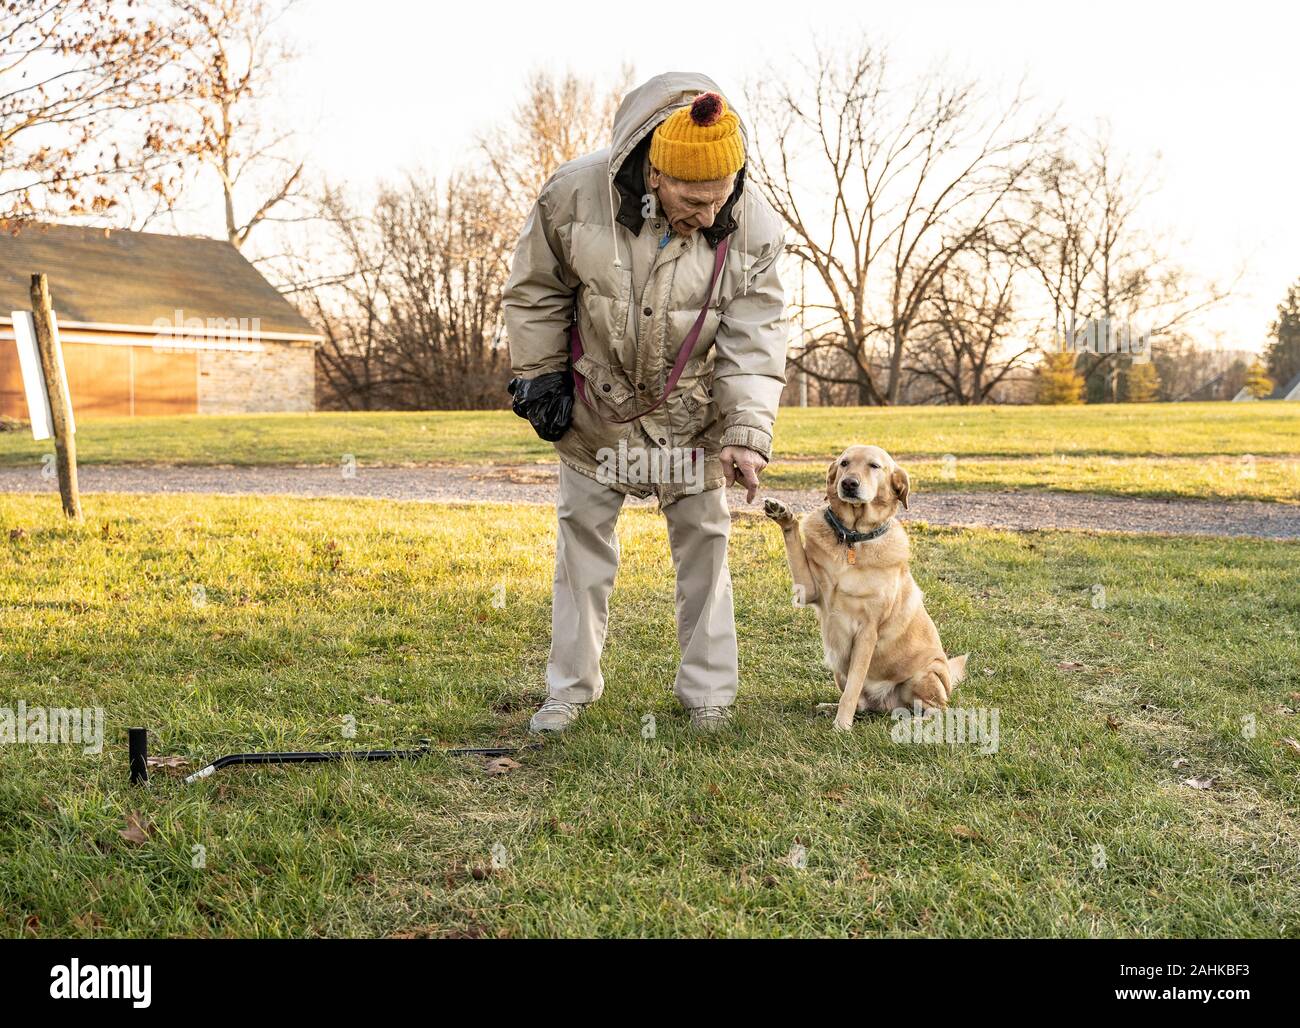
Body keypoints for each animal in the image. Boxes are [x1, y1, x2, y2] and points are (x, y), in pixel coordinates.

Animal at [759, 444, 967, 732]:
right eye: (844, 463)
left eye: (874, 466)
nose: (848, 483)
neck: (852, 539)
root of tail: (887, 706)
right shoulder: (808, 590)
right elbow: (794, 541)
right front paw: (783, 514)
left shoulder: (867, 632)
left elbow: (854, 686)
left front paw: (841, 727)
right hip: (837, 666)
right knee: (862, 703)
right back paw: (829, 707)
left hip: (926, 674)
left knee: (936, 710)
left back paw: (914, 722)